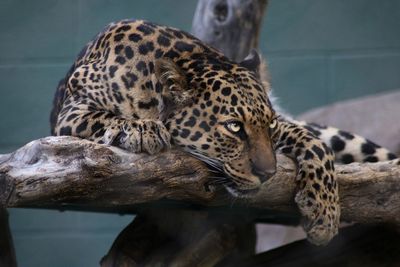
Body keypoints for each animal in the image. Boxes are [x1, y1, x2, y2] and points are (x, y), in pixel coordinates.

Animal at [47, 18, 394, 247]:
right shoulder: (71, 113)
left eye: (268, 125)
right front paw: (144, 129)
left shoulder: (285, 126)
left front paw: (324, 212)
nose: (268, 174)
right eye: (234, 126)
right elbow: (107, 117)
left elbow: (316, 144)